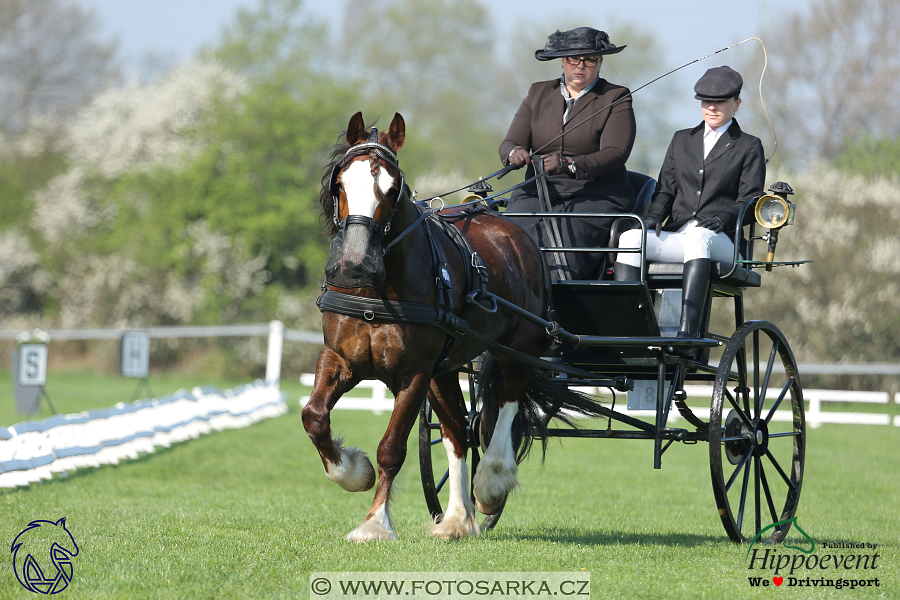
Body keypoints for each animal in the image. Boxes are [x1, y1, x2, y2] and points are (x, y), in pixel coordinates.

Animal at [302, 110, 604, 540]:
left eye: (392, 189)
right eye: (340, 183)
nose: (354, 263)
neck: (379, 290)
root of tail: (512, 229)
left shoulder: (413, 372)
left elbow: (391, 448)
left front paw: (375, 523)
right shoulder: (340, 359)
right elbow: (313, 416)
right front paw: (354, 472)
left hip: (518, 349)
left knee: (506, 404)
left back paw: (491, 483)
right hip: (445, 369)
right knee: (460, 431)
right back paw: (458, 518)